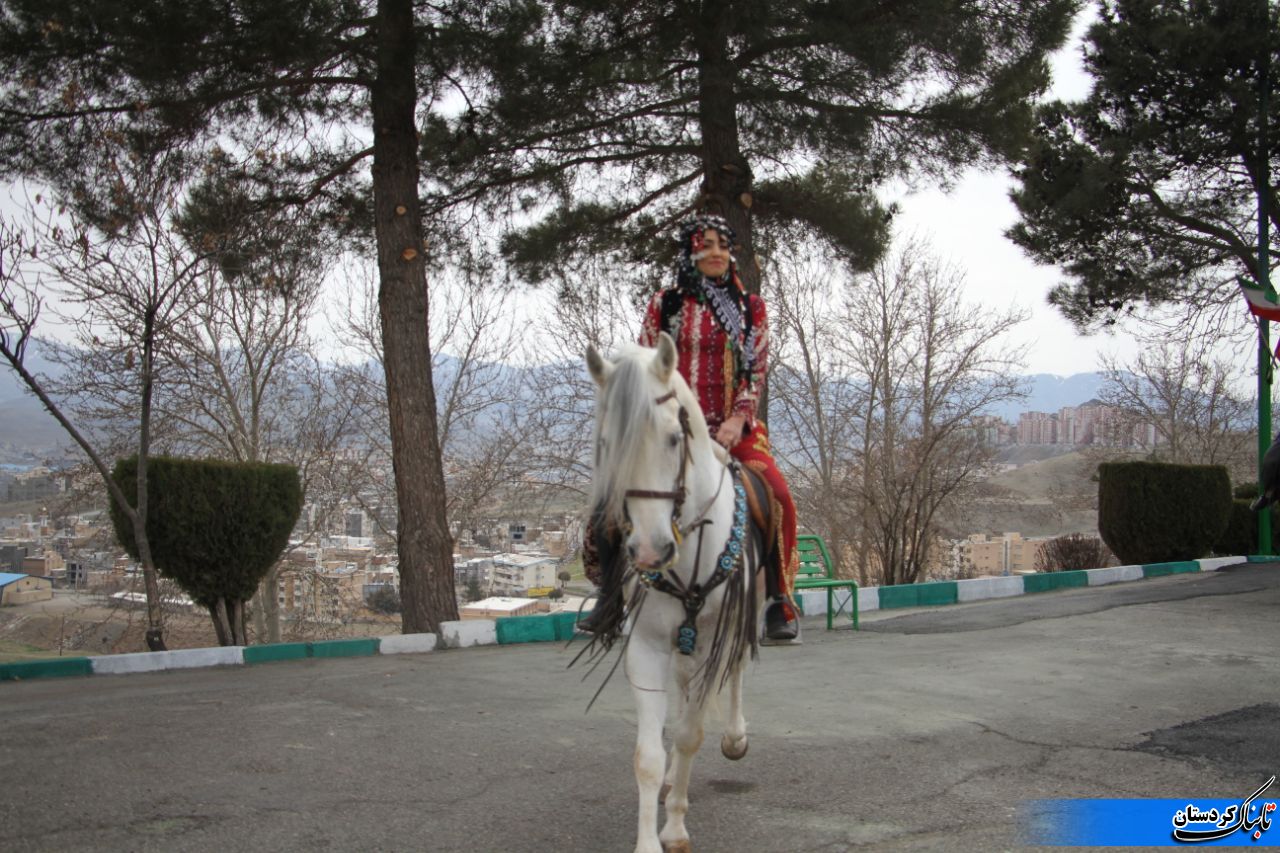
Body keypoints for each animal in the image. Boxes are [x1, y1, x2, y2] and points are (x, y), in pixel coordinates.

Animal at [585, 332, 767, 853]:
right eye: (607, 444)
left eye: (672, 438)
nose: (649, 551)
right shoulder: (646, 646)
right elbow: (647, 754)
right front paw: (651, 835)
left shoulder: (713, 640)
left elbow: (689, 735)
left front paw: (676, 828)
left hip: (744, 619)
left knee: (736, 671)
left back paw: (735, 737)